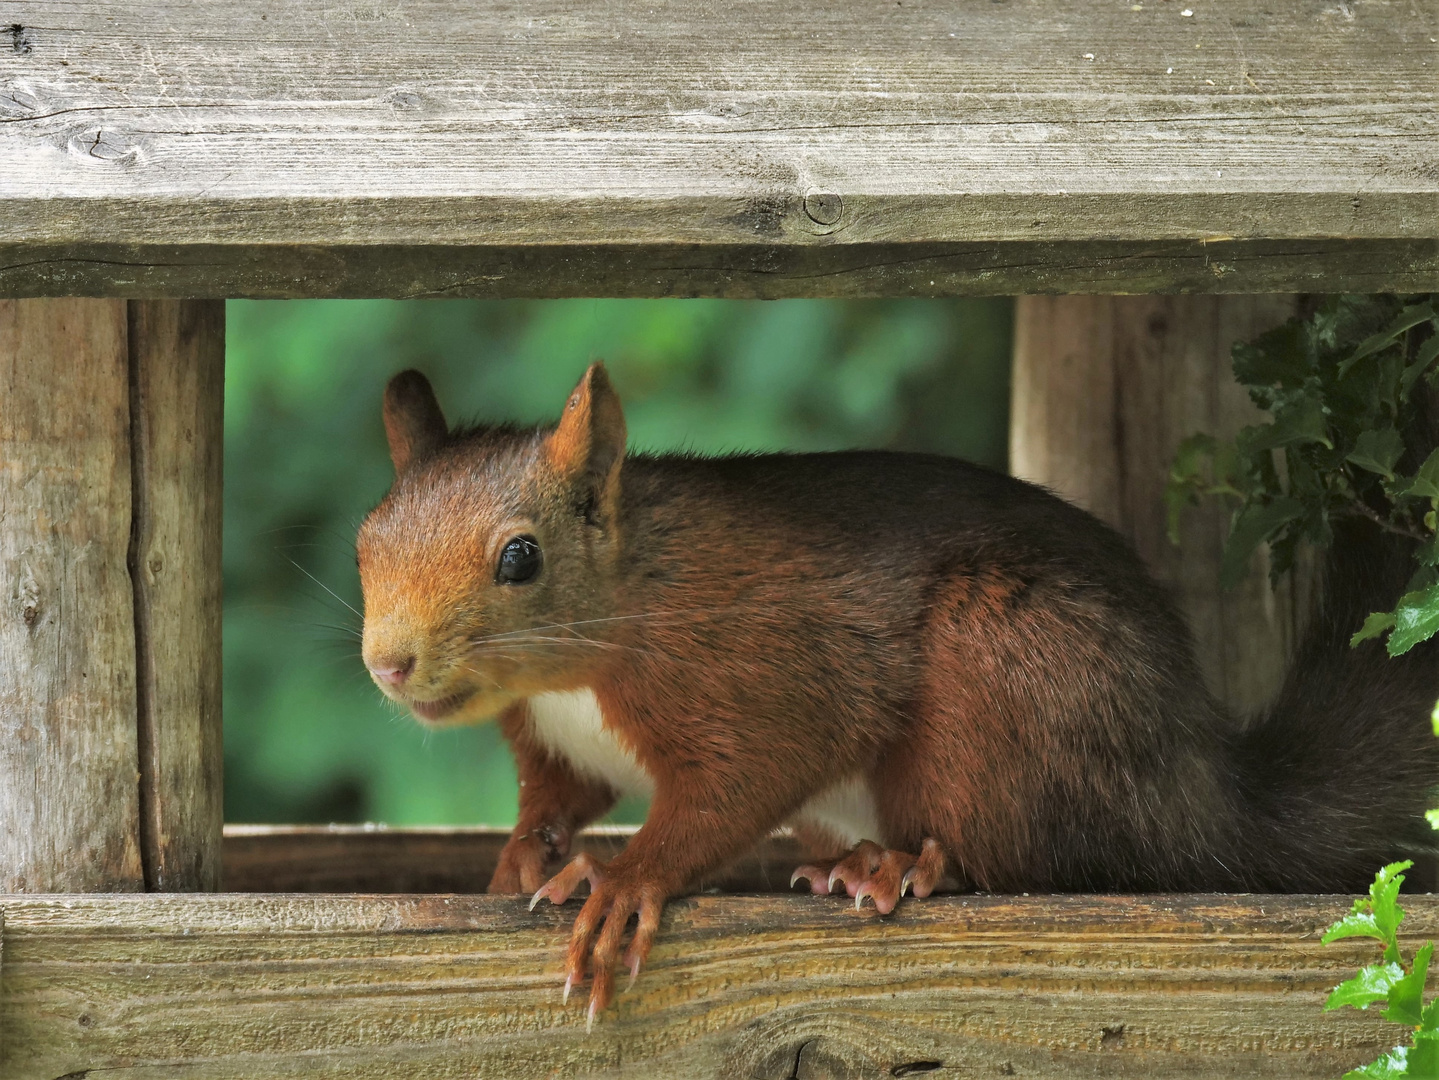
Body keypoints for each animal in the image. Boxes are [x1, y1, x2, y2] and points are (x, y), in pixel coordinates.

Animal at [356, 360, 1439, 1023]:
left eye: (521, 559)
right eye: (366, 539)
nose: (387, 663)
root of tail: (1198, 792)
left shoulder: (755, 672)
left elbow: (735, 787)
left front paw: (621, 883)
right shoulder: (555, 740)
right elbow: (561, 799)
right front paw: (520, 861)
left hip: (1001, 674)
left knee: (1019, 858)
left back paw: (908, 866)